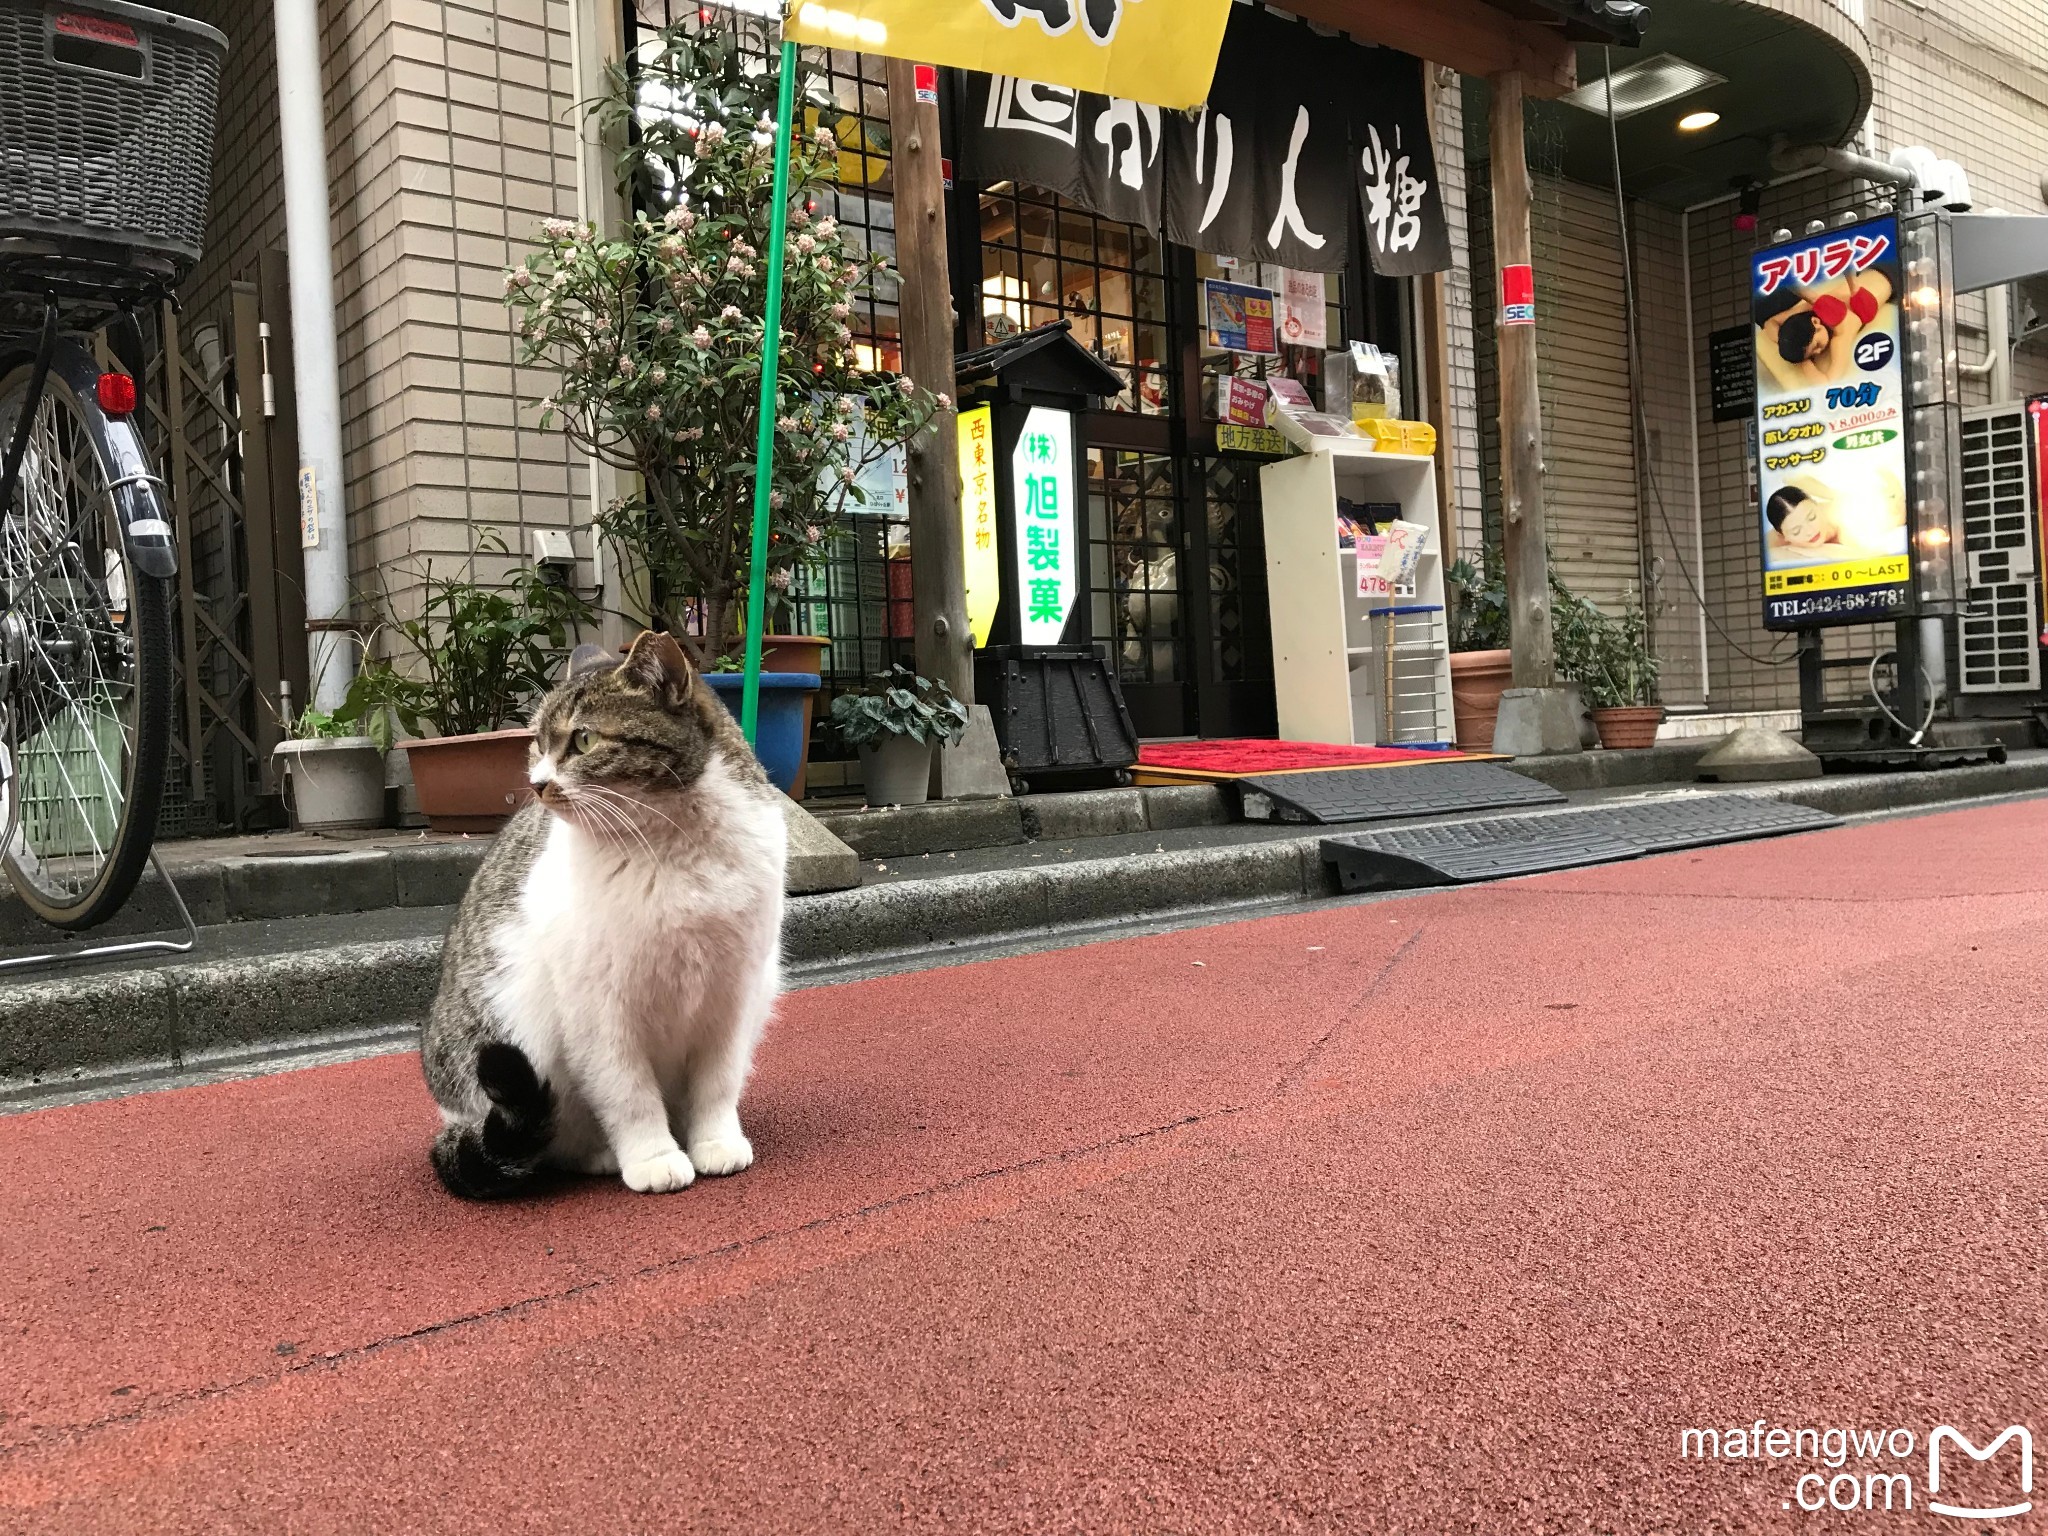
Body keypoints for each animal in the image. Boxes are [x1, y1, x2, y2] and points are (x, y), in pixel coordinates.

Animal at [419, 630, 786, 1196]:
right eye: (536, 743)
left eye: (584, 741)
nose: (537, 783)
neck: (671, 843)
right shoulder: (598, 1007)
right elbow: (628, 1094)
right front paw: (654, 1158)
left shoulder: (734, 993)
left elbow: (718, 1084)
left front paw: (715, 1143)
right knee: (546, 1136)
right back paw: (598, 1156)